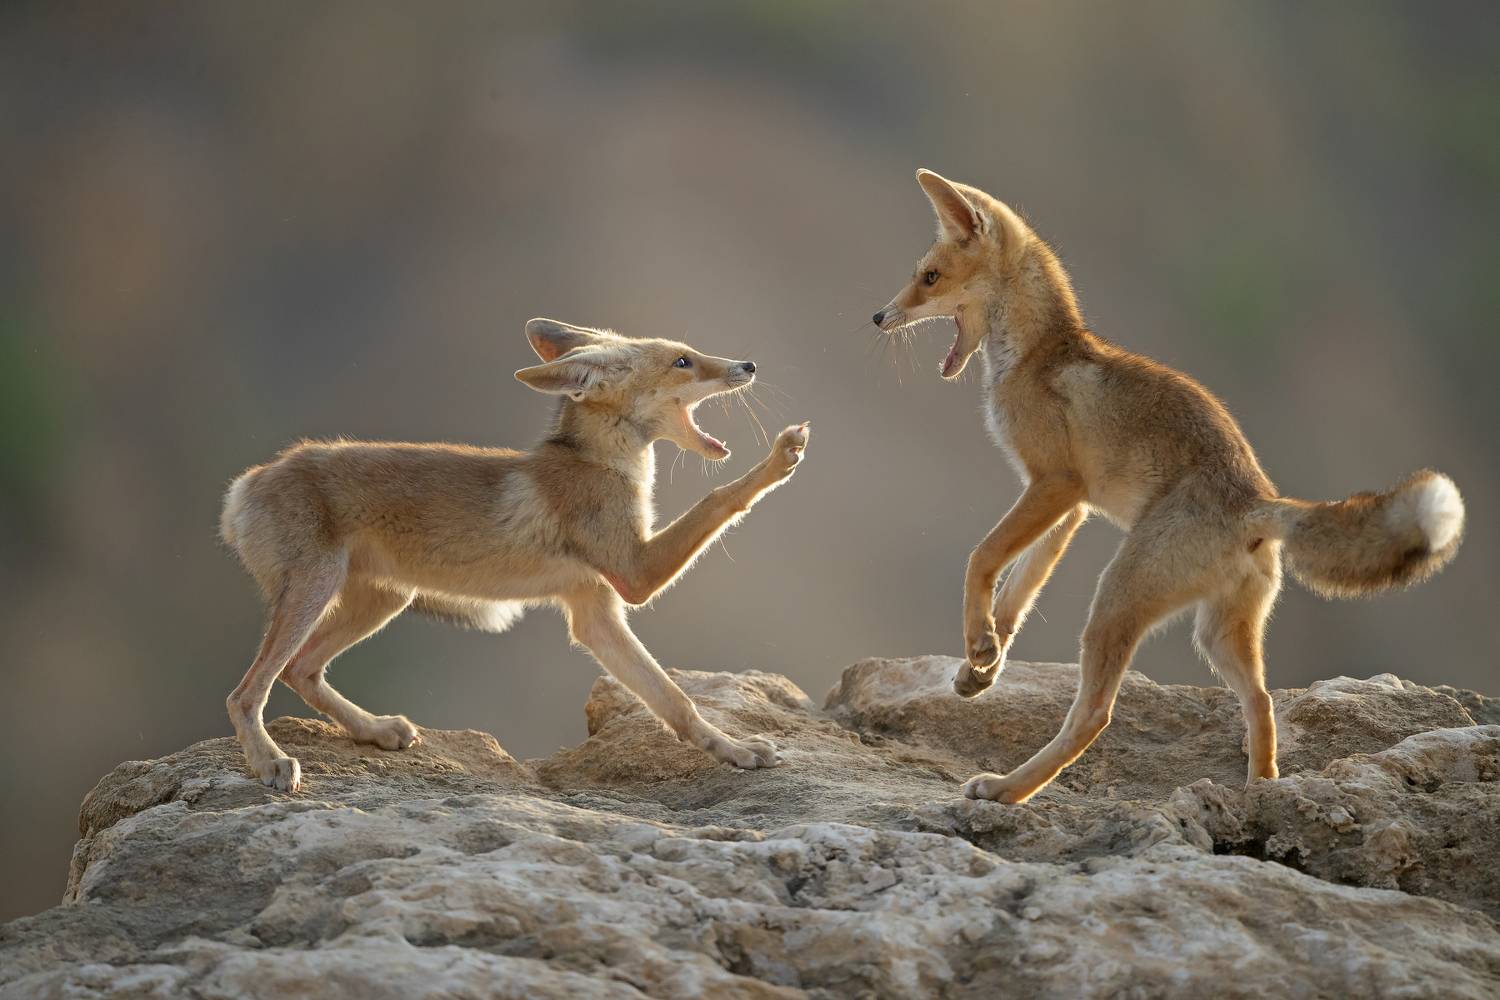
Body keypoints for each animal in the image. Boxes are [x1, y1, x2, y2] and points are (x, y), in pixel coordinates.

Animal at [219, 318, 809, 791]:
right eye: (683, 361)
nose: (748, 364)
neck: (603, 466)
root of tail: (248, 481)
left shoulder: (595, 612)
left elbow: (674, 701)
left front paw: (732, 751)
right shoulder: (634, 574)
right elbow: (720, 497)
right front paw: (781, 457)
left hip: (384, 599)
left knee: (301, 671)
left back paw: (374, 730)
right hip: (316, 589)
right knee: (247, 692)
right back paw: (271, 762)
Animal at [874, 168, 1466, 804]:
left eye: (929, 278)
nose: (878, 318)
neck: (1037, 357)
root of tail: (1259, 500)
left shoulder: (1056, 485)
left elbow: (982, 560)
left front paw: (980, 647)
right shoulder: (1070, 507)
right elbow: (1016, 594)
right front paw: (980, 665)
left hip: (1116, 598)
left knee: (1096, 715)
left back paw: (1009, 789)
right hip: (1218, 635)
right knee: (1262, 703)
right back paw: (1260, 794)